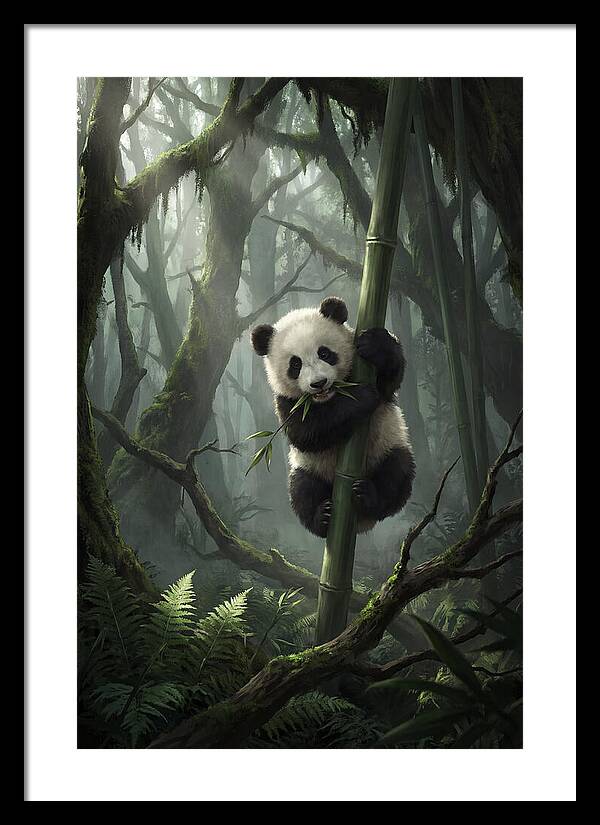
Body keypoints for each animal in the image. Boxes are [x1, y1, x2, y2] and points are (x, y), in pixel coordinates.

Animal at [251, 296, 415, 538]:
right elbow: (306, 433)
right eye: (295, 364)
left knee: (396, 473)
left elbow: (390, 380)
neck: (330, 397)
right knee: (302, 490)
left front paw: (375, 345)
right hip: (309, 468)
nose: (318, 383)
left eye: (324, 353)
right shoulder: (286, 401)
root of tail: (360, 524)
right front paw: (361, 396)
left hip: (387, 446)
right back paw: (323, 517)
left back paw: (368, 496)